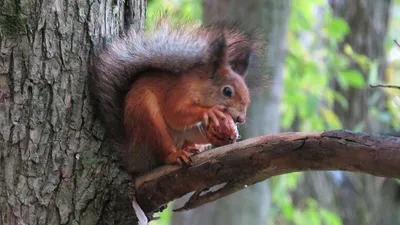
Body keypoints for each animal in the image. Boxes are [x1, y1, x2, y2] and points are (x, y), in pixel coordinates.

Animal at [88, 18, 262, 175]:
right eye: (227, 91)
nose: (240, 119)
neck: (200, 88)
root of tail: (134, 155)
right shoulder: (177, 93)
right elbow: (174, 113)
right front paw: (209, 112)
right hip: (147, 118)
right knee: (162, 152)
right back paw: (175, 155)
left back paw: (193, 147)